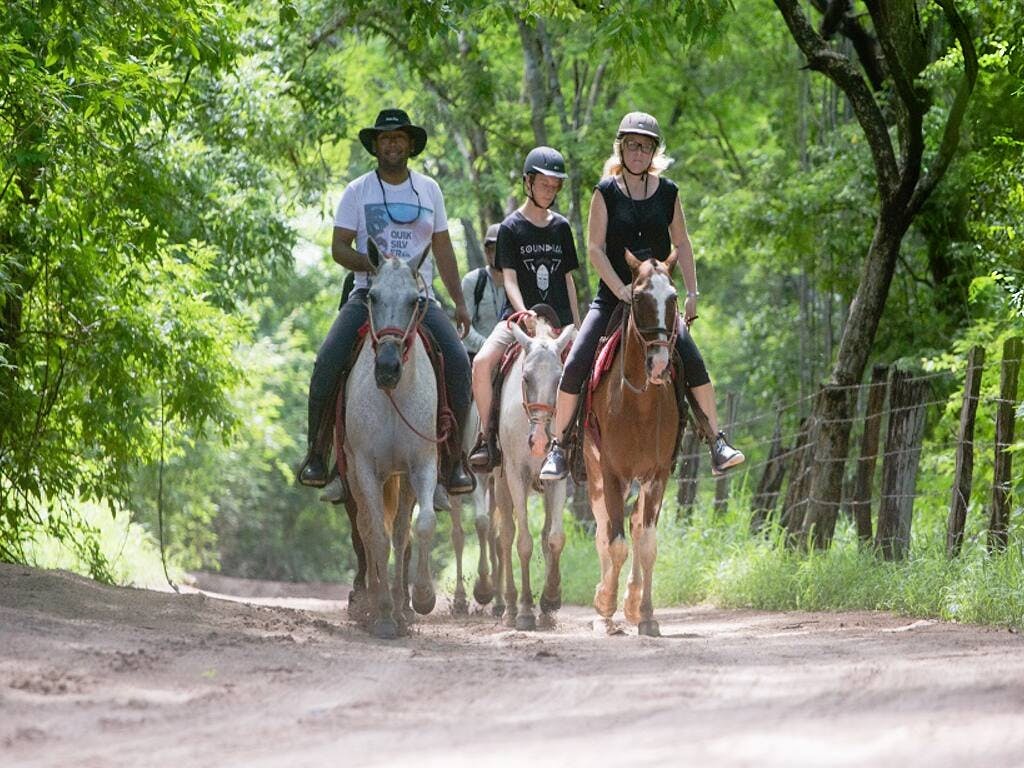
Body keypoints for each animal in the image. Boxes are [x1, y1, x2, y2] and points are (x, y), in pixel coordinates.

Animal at [493, 317, 577, 630]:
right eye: (526, 378)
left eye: (560, 380)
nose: (540, 442)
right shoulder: (516, 476)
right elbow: (523, 542)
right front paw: (526, 610)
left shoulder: (558, 478)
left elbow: (554, 538)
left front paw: (550, 600)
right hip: (499, 481)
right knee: (505, 536)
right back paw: (509, 608)